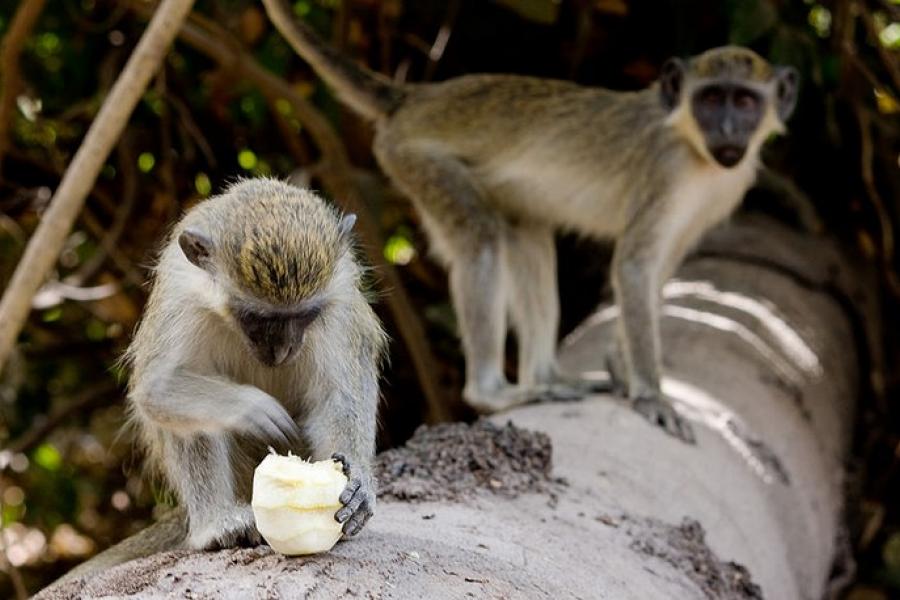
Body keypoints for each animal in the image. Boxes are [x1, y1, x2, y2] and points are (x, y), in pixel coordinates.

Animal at [123, 179, 384, 552]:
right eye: (255, 318)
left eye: (305, 315)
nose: (283, 350)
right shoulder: (182, 299)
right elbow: (156, 388)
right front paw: (253, 407)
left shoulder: (339, 309)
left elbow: (338, 398)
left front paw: (358, 481)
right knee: (189, 418)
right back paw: (217, 522)